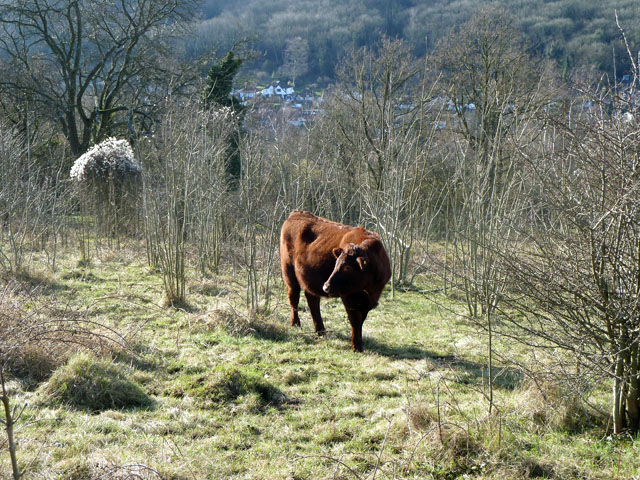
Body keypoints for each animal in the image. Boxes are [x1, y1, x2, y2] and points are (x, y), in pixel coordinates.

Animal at [278, 210, 390, 352]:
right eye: (335, 263)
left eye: (348, 267)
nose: (326, 287)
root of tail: (296, 213)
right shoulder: (348, 296)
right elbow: (355, 320)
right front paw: (356, 346)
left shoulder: (366, 301)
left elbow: (361, 320)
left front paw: (359, 344)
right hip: (289, 272)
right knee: (294, 297)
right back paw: (296, 324)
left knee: (312, 301)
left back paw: (321, 331)